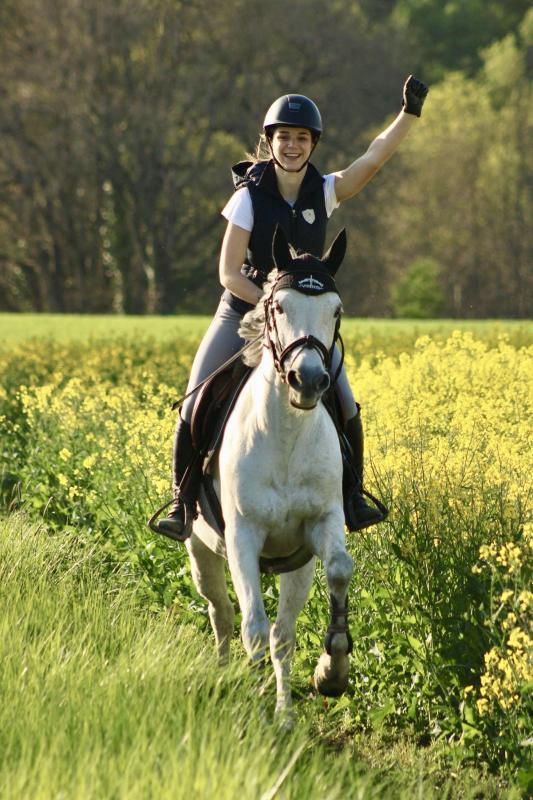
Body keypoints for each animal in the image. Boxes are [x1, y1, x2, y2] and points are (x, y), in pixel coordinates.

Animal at [187, 227, 354, 720]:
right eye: (278, 307)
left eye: (336, 310)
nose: (309, 379)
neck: (286, 436)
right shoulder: (243, 535)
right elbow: (253, 630)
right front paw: (253, 701)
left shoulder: (318, 528)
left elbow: (338, 572)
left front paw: (329, 673)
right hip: (201, 551)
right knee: (222, 613)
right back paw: (224, 675)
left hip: (289, 564)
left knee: (276, 631)